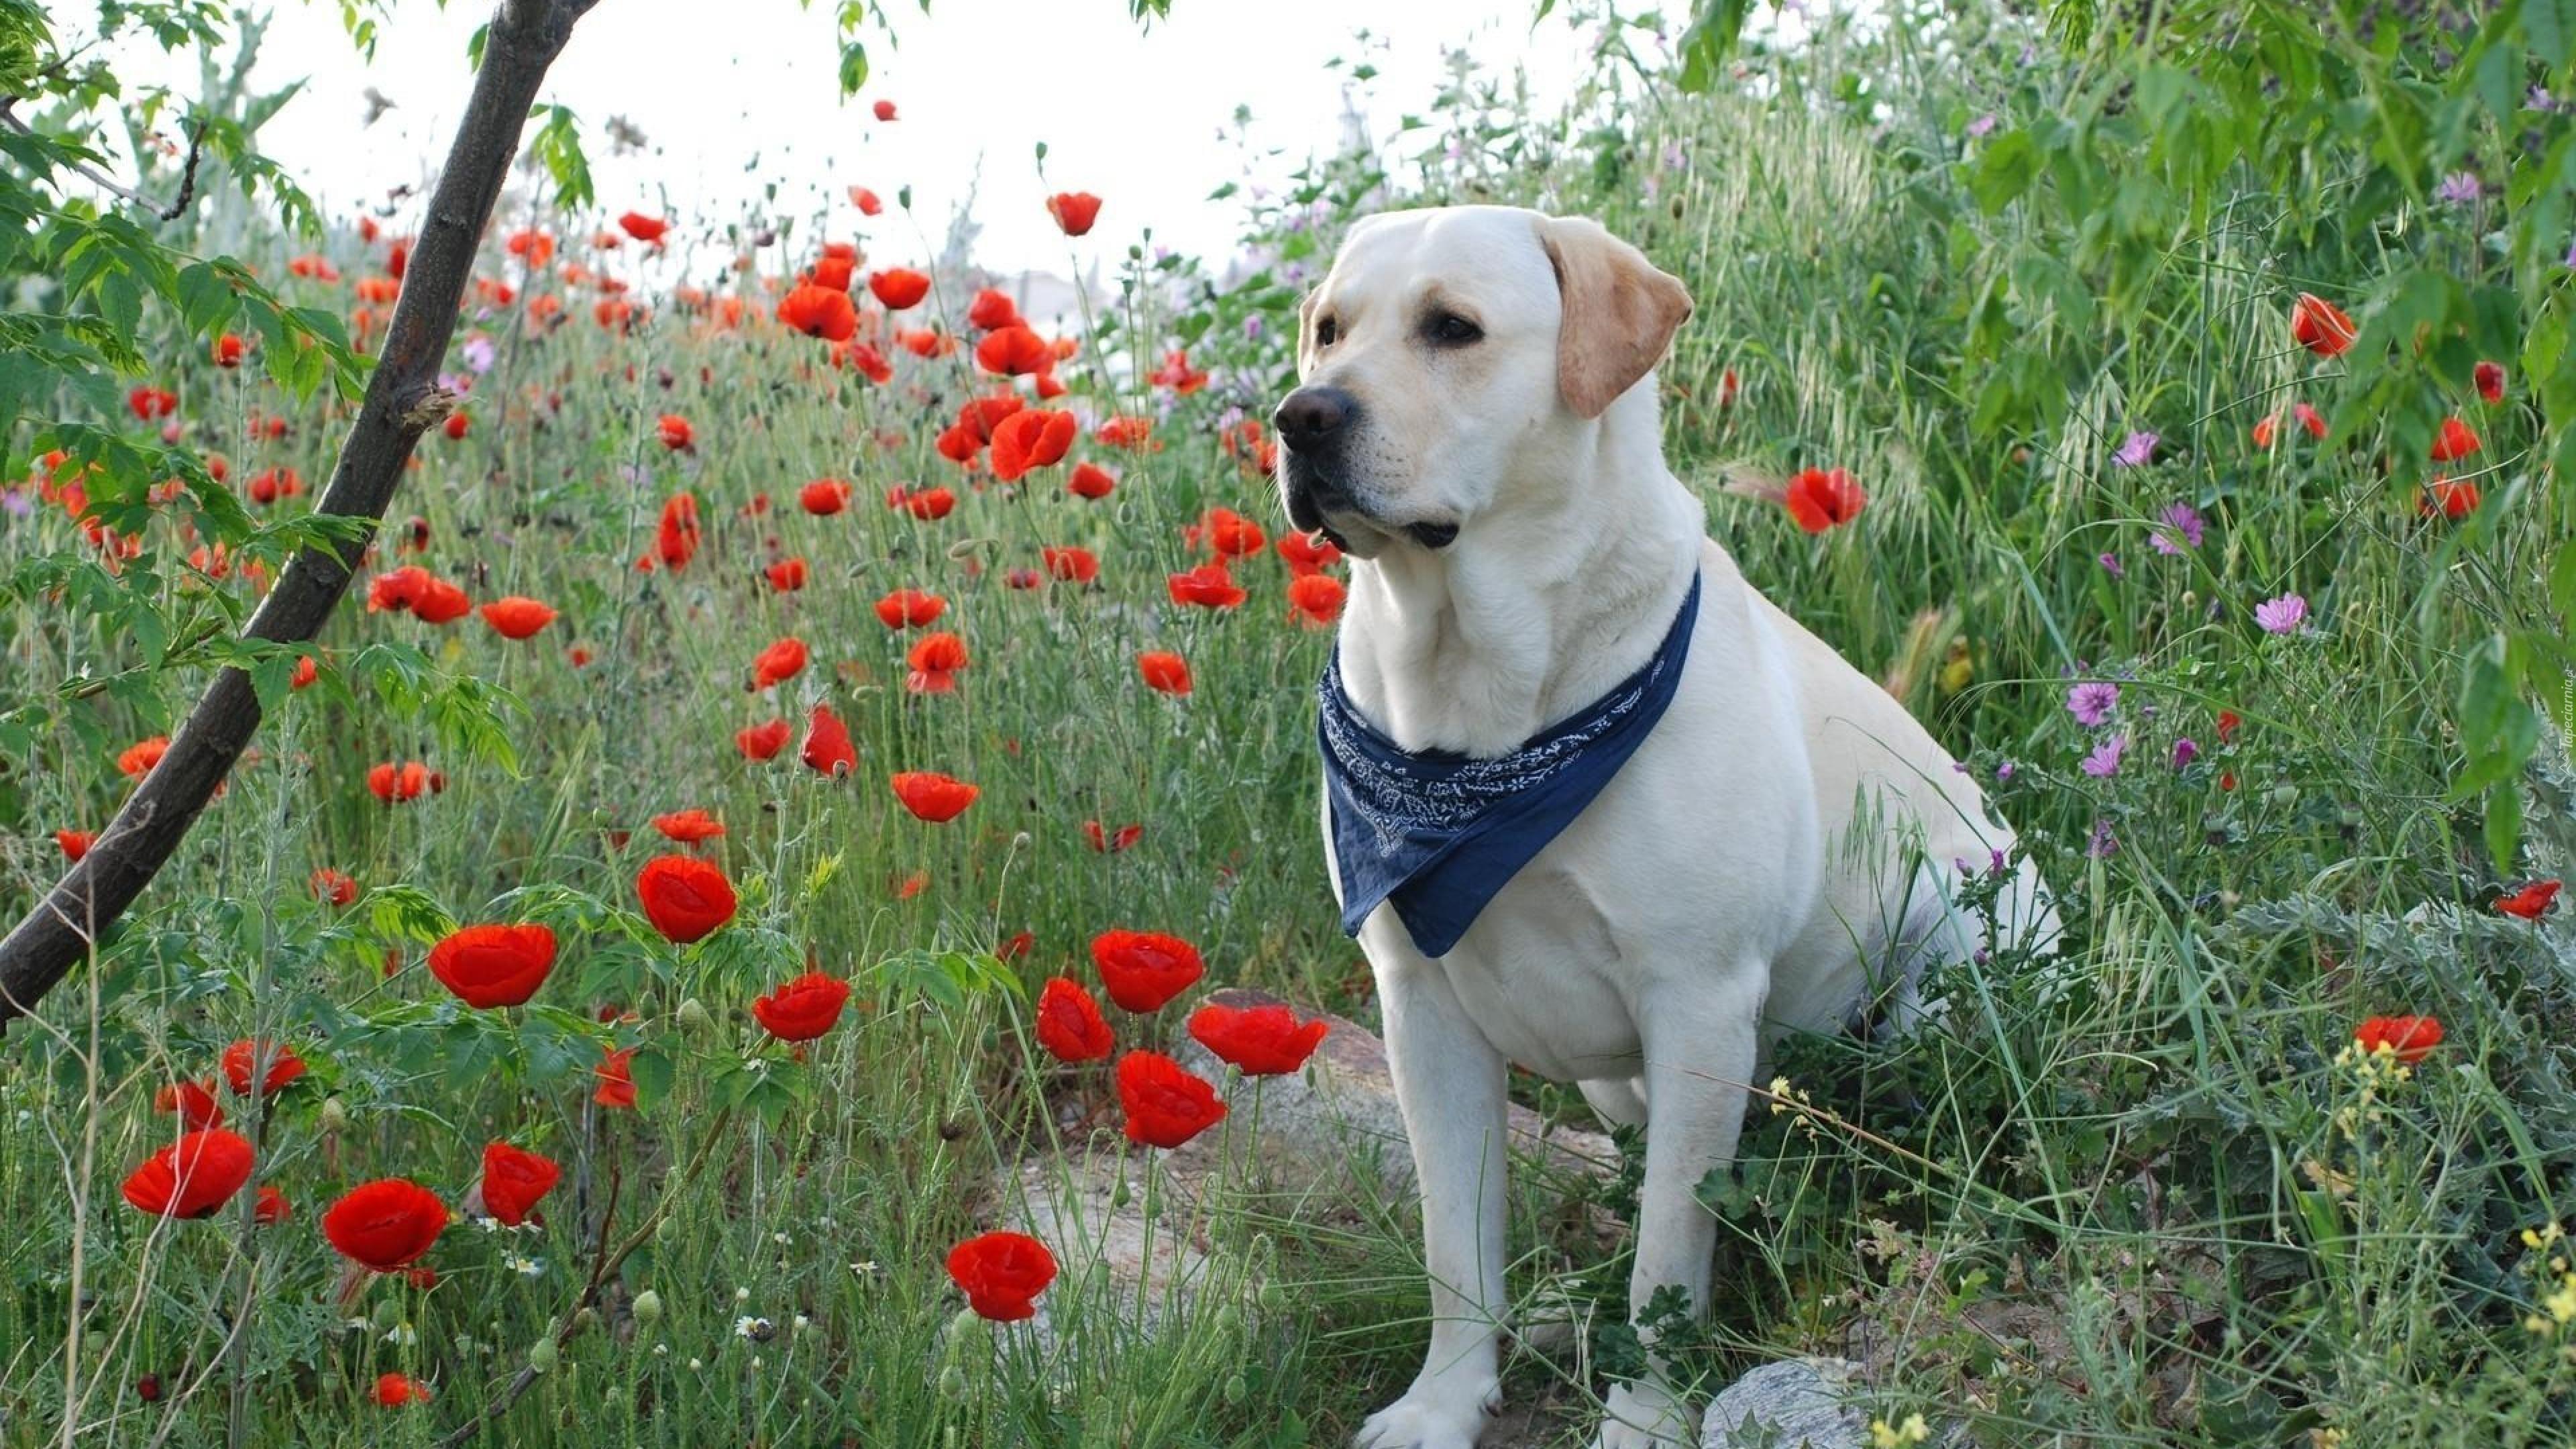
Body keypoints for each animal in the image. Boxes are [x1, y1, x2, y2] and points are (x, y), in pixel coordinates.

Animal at [1267, 206, 2050, 1444]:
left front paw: (1644, 1415)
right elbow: (1457, 1241)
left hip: (1951, 984)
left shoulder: (1699, 1002)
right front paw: (1447, 1399)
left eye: (1453, 328)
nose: (1302, 416)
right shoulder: (1420, 1004)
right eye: (1330, 330)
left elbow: (1668, 1265)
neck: (1483, 717)